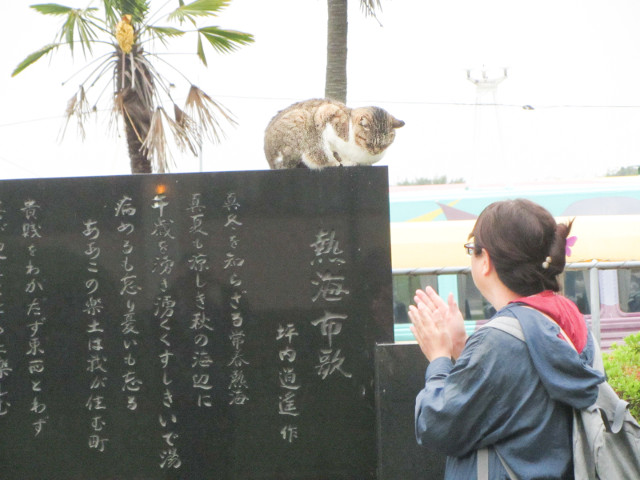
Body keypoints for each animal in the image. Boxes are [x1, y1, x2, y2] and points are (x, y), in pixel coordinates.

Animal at [262, 97, 402, 169]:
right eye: (369, 143)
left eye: (384, 145)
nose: (375, 151)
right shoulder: (324, 113)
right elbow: (330, 152)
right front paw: (343, 161)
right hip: (300, 120)